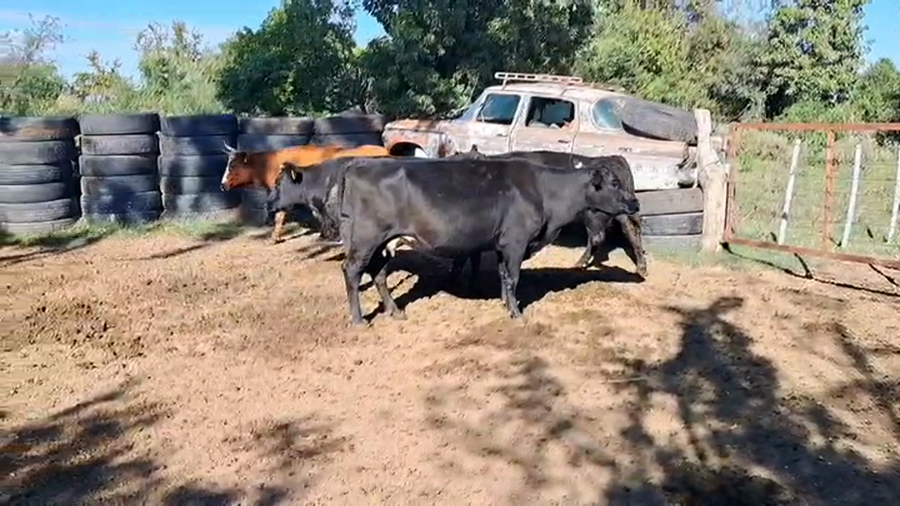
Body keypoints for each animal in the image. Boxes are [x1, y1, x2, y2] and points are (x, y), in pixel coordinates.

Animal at [279, 155, 639, 325]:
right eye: (614, 185)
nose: (636, 203)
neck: (545, 190)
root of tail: (359, 163)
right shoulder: (515, 242)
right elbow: (513, 278)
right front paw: (516, 313)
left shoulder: (502, 245)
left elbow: (504, 277)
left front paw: (504, 304)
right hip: (366, 238)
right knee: (353, 272)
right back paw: (358, 320)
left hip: (382, 242)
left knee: (379, 273)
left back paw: (395, 311)